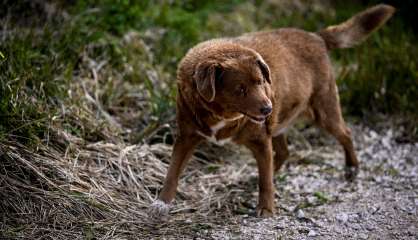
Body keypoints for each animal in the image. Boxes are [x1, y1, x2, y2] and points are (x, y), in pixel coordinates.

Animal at [149, 4, 396, 219]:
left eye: (261, 82)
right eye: (240, 89)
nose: (267, 108)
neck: (221, 115)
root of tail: (316, 36)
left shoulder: (260, 139)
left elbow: (265, 181)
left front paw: (266, 208)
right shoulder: (186, 137)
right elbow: (172, 171)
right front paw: (162, 202)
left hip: (323, 110)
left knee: (345, 133)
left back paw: (352, 167)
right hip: (279, 122)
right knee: (283, 153)